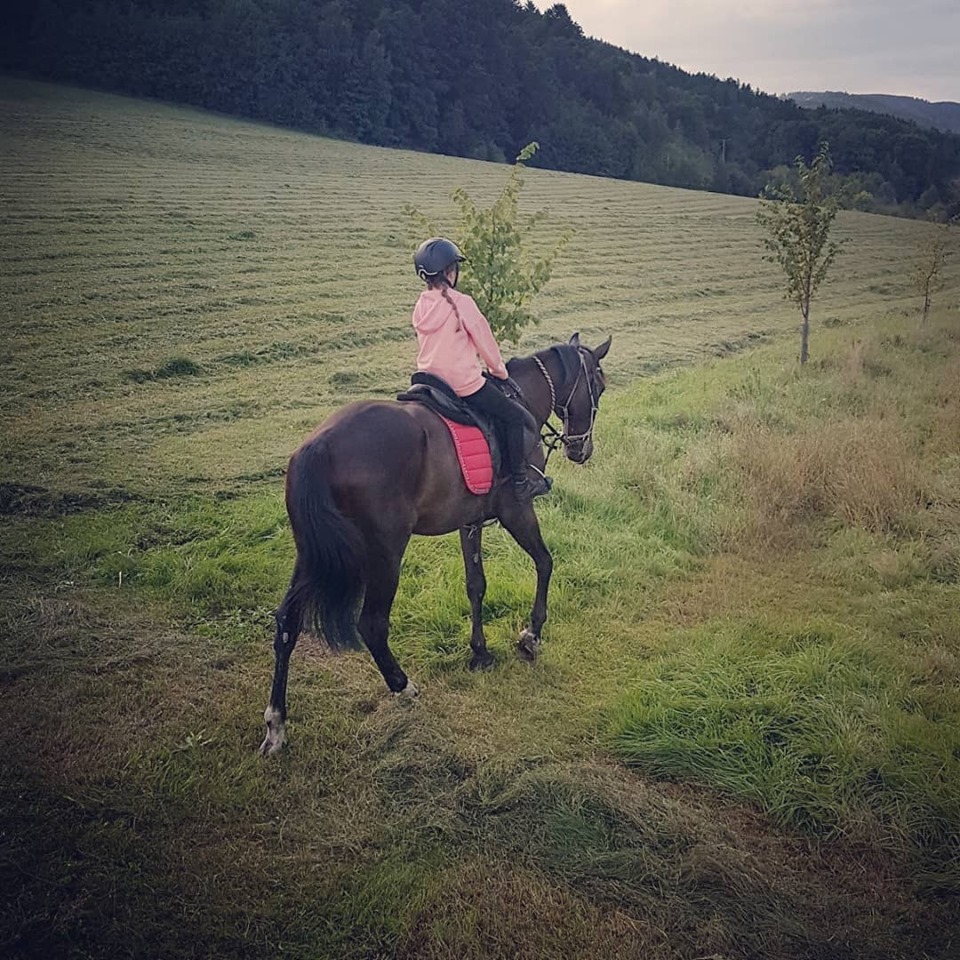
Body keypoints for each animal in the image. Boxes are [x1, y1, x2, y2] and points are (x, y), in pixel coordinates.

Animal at [260, 332, 611, 754]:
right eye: (599, 386)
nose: (581, 449)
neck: (520, 399)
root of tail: (319, 446)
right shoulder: (517, 509)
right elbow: (545, 562)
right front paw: (532, 635)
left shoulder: (469, 521)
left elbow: (476, 585)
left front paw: (480, 652)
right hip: (385, 553)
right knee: (371, 624)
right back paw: (403, 686)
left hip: (311, 555)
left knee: (287, 623)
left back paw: (276, 722)